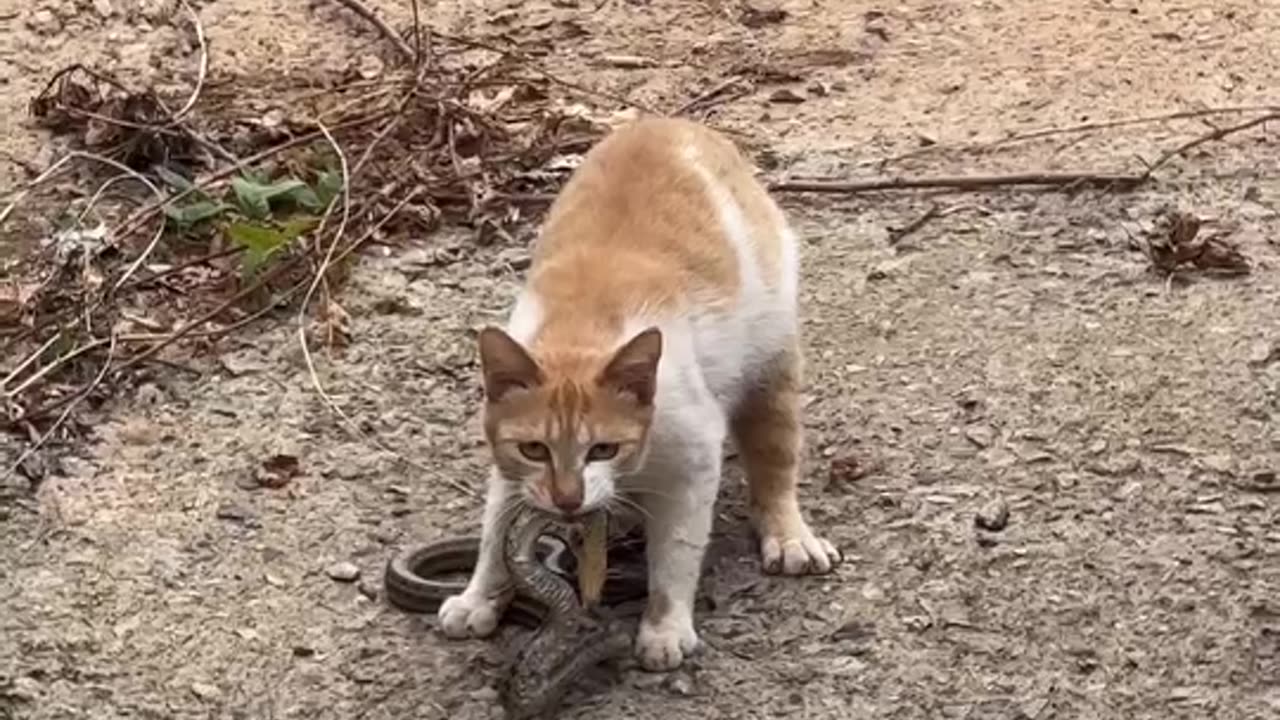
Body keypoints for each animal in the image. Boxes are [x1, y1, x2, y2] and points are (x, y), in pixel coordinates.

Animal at [440, 116, 839, 666]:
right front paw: (480, 596)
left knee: (774, 461)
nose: (568, 500)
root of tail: (668, 121)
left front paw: (665, 627)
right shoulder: (510, 467)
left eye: (603, 449)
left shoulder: (693, 457)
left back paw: (787, 533)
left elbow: (675, 552)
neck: (581, 332)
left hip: (770, 361)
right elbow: (494, 530)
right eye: (534, 449)